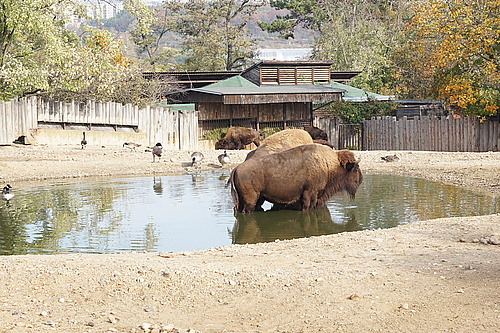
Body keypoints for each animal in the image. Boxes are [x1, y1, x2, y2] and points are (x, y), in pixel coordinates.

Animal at [229, 143, 362, 213]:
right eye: (355, 168)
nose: (360, 181)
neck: (328, 164)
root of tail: (237, 168)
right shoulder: (309, 194)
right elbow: (306, 207)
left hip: (249, 199)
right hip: (251, 199)